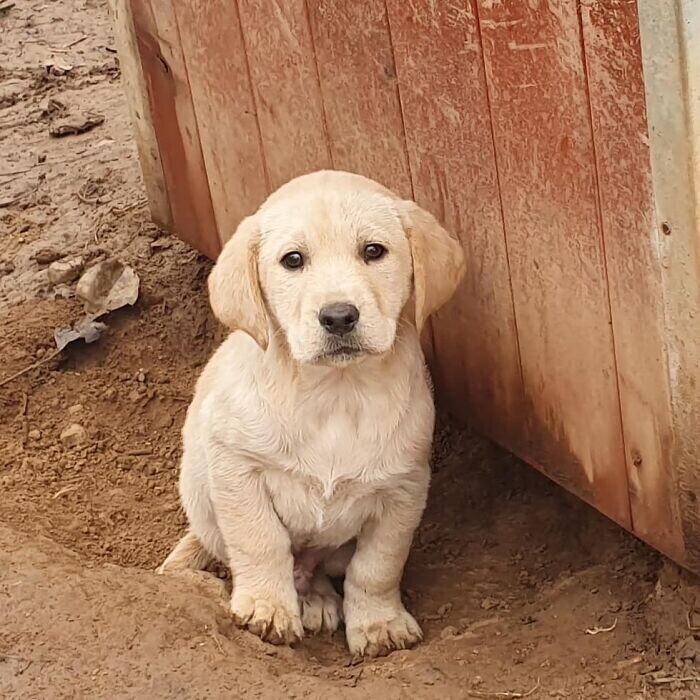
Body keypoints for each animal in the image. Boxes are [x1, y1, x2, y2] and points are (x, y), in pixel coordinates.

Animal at [159, 170, 464, 656]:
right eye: (293, 260)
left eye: (373, 251)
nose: (338, 316)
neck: (336, 393)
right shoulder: (236, 467)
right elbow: (261, 541)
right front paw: (266, 608)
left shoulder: (404, 488)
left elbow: (377, 566)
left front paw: (378, 623)